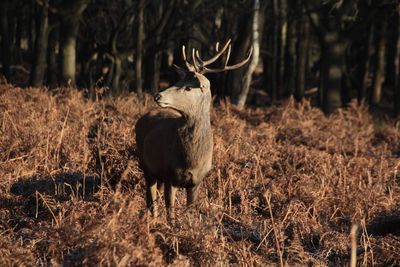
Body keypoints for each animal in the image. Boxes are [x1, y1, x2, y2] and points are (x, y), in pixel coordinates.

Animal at [134, 39, 253, 220]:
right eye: (177, 82)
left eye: (188, 88)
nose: (158, 95)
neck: (191, 159)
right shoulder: (170, 175)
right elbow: (171, 215)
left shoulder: (196, 181)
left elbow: (190, 210)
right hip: (145, 164)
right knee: (151, 199)